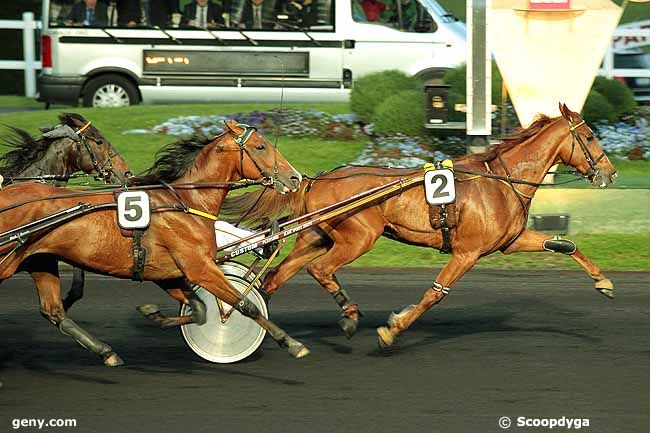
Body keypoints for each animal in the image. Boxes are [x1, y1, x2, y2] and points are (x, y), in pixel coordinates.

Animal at [0, 120, 306, 364]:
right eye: (260, 147)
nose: (295, 177)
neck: (185, 203)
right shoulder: (200, 268)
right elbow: (244, 305)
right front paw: (292, 343)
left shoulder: (168, 274)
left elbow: (200, 310)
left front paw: (153, 314)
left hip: (40, 260)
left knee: (54, 311)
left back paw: (106, 352)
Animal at [223, 104, 616, 348]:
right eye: (590, 136)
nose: (610, 172)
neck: (500, 181)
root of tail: (316, 179)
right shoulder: (467, 252)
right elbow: (435, 293)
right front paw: (391, 330)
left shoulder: (510, 240)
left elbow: (565, 245)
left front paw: (604, 282)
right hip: (358, 238)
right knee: (320, 270)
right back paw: (347, 316)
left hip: (315, 237)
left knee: (275, 276)